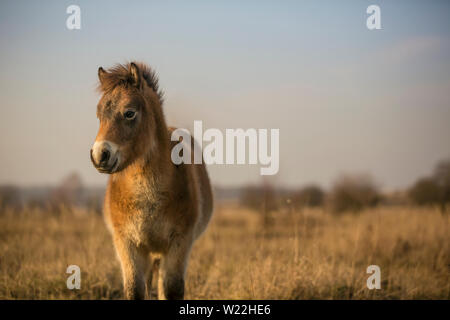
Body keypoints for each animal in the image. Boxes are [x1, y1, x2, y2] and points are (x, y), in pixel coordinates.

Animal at [90, 62, 214, 300]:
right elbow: (135, 290)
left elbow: (171, 288)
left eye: (129, 113)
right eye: (99, 115)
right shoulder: (128, 244)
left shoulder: (179, 243)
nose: (100, 155)